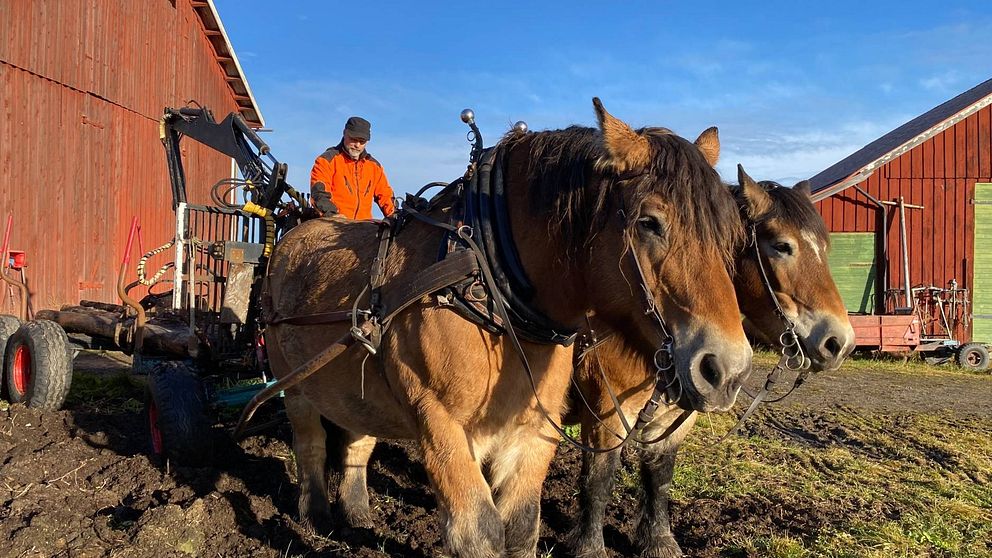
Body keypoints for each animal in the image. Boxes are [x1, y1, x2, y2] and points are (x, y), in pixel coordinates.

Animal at [262, 100, 752, 558]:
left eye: (732, 234)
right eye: (649, 222)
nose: (727, 369)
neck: (485, 284)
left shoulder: (532, 430)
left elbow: (521, 527)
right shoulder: (439, 424)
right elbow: (479, 530)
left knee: (357, 440)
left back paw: (358, 513)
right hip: (294, 384)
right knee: (310, 443)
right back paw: (317, 514)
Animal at [560, 164, 856, 556]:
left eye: (824, 248)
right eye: (782, 246)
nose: (841, 343)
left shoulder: (674, 417)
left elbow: (659, 474)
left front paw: (659, 541)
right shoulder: (605, 415)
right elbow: (598, 479)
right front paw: (589, 546)